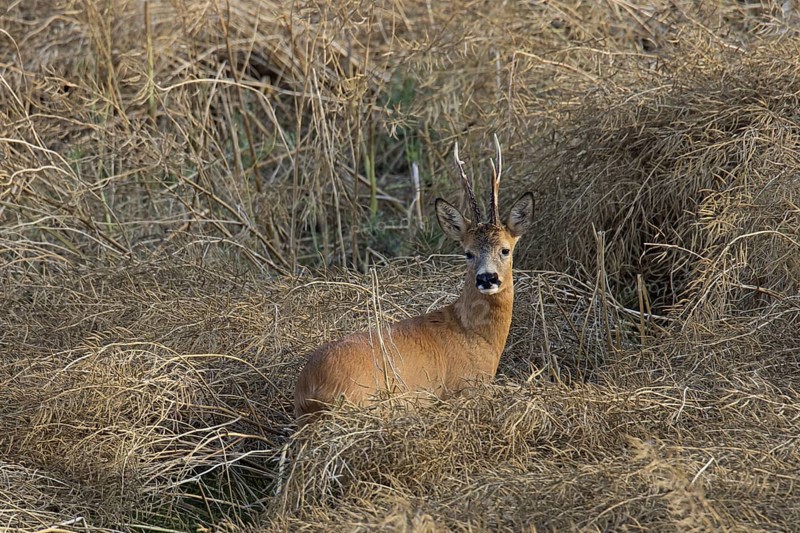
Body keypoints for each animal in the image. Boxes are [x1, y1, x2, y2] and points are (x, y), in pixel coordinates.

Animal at [294, 137, 534, 422]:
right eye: (468, 253)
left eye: (505, 250)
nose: (487, 278)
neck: (476, 335)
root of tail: (308, 389)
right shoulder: (465, 386)